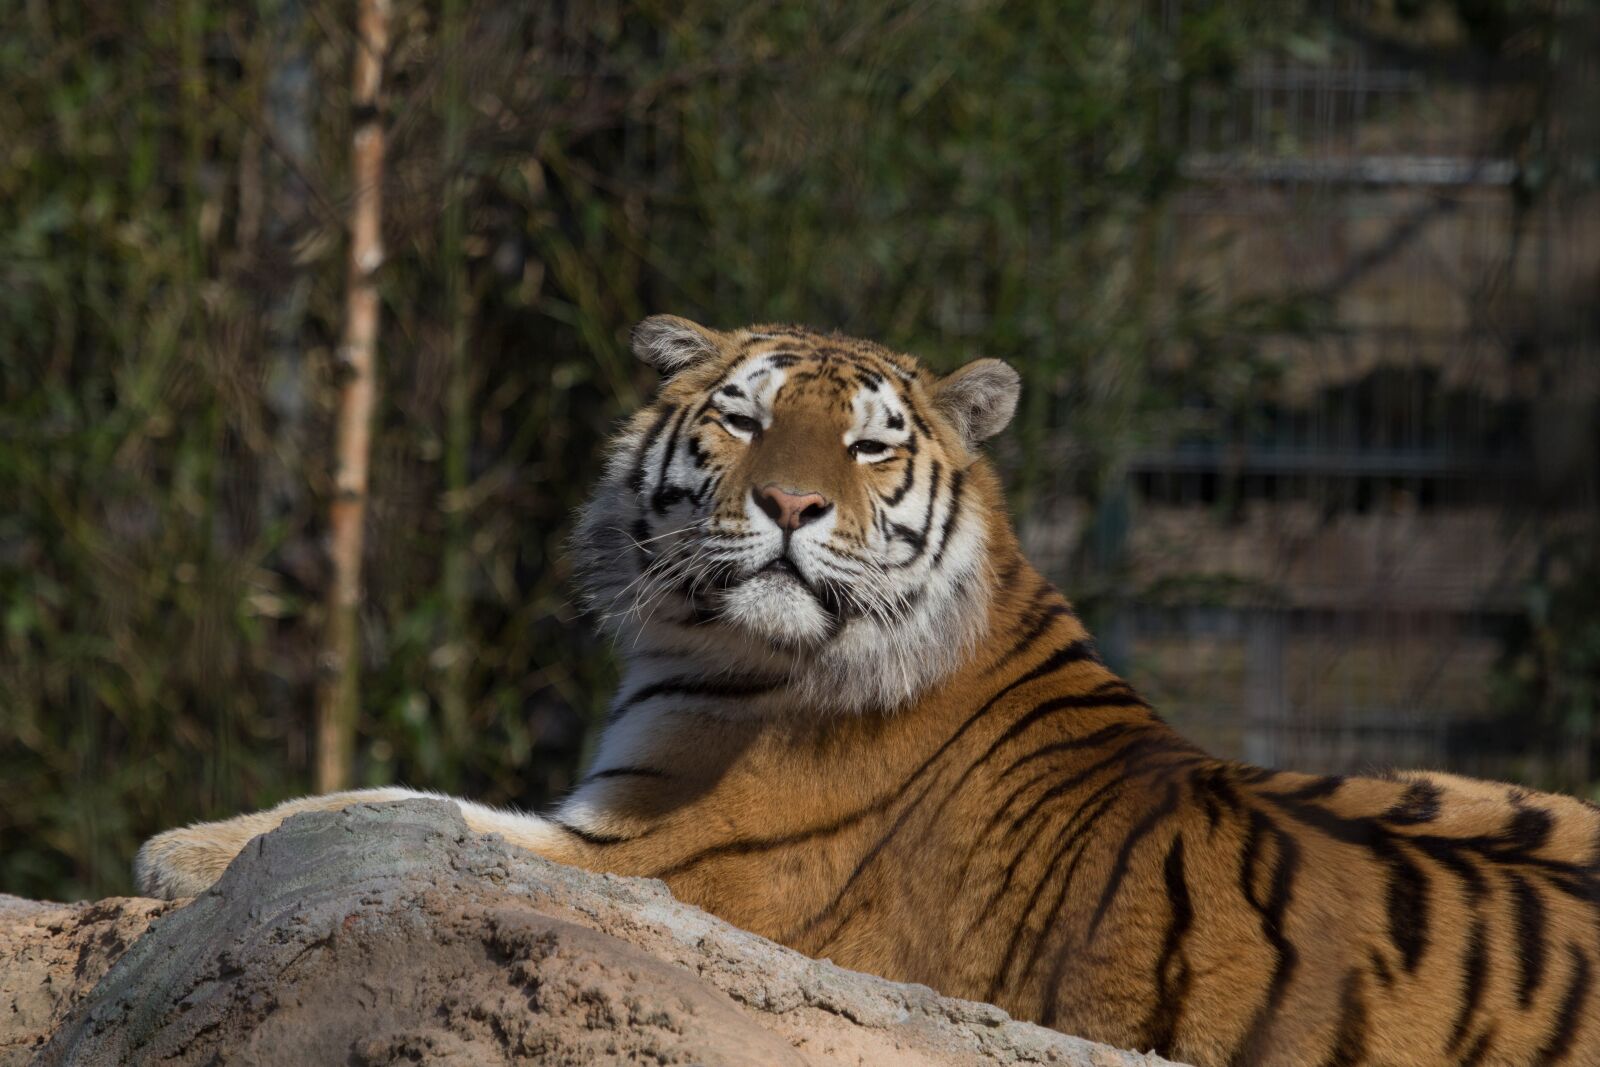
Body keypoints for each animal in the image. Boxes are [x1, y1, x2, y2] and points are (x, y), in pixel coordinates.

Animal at [137, 316, 1600, 1066]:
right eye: (741, 418)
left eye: (868, 445)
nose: (789, 505)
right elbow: (400, 804)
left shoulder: (669, 859)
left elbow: (401, 811)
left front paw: (182, 849)